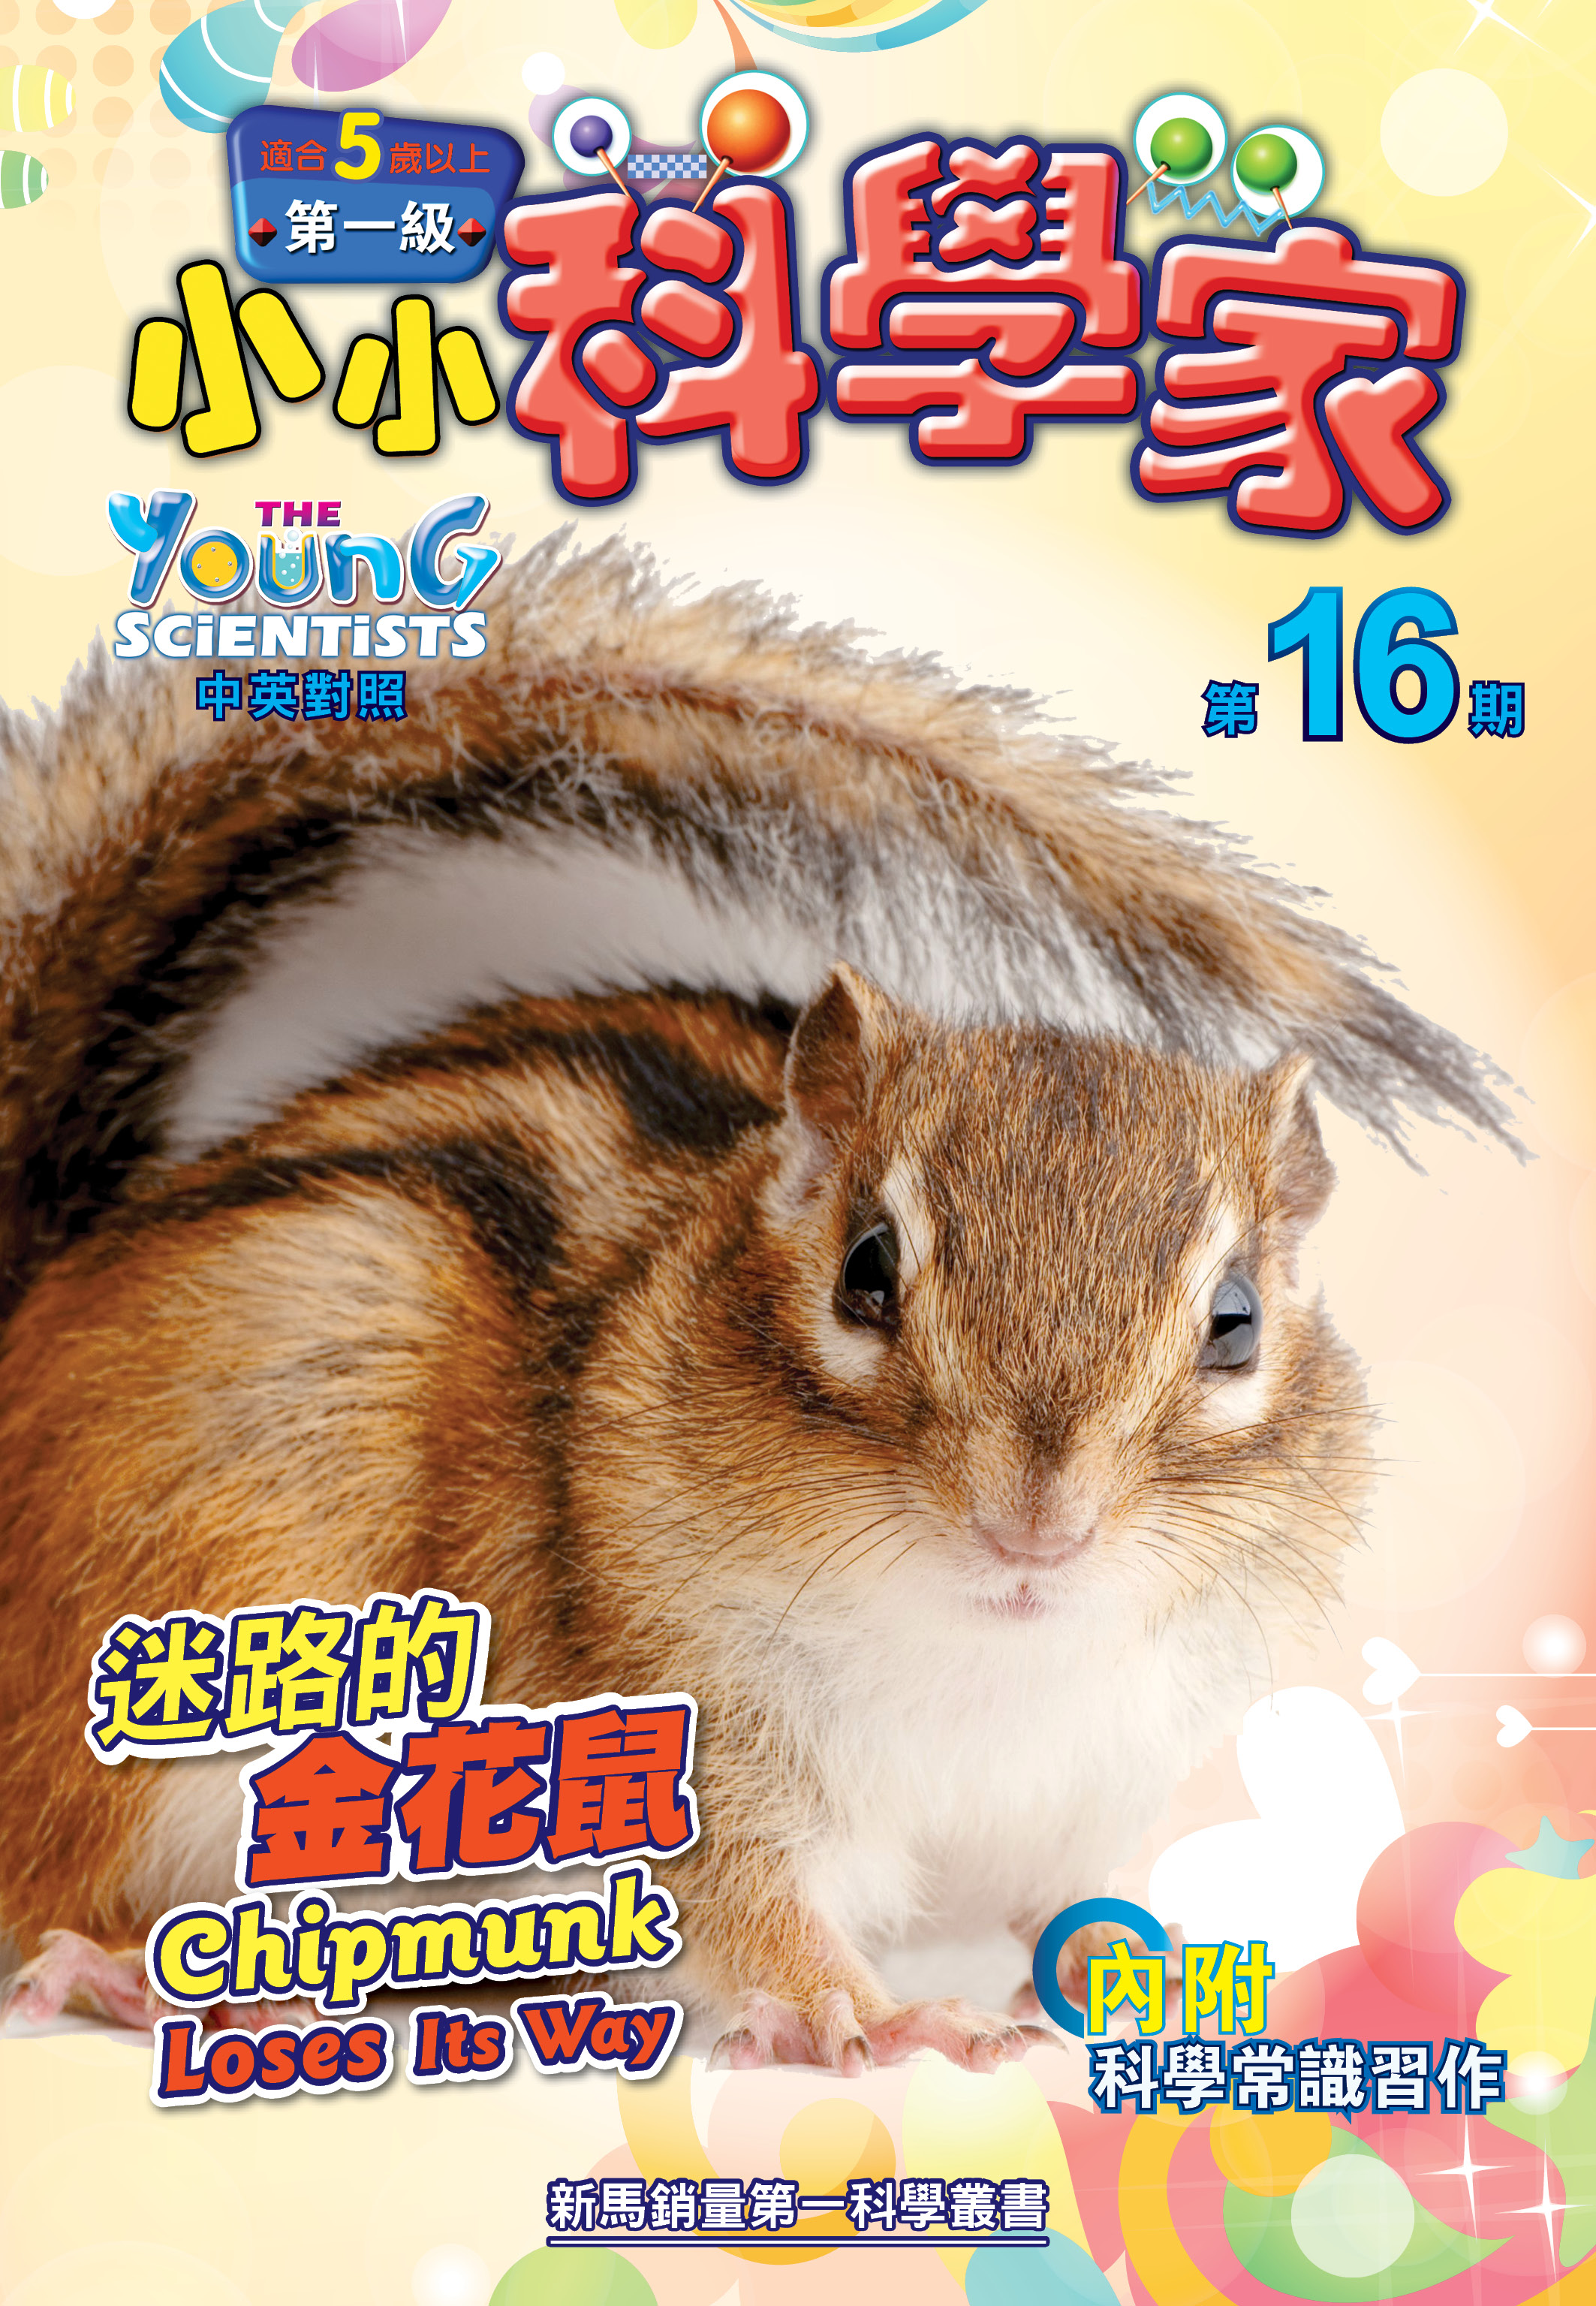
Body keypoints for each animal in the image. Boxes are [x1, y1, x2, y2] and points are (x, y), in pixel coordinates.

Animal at [0, 535, 1513, 2070]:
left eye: (1236, 1322)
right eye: (865, 1273)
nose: (1039, 1527)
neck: (990, 1656)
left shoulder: (1095, 1784)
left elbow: (1072, 1908)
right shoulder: (674, 1729)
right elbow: (758, 1909)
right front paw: (893, 2020)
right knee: (55, 1876)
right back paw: (141, 1975)